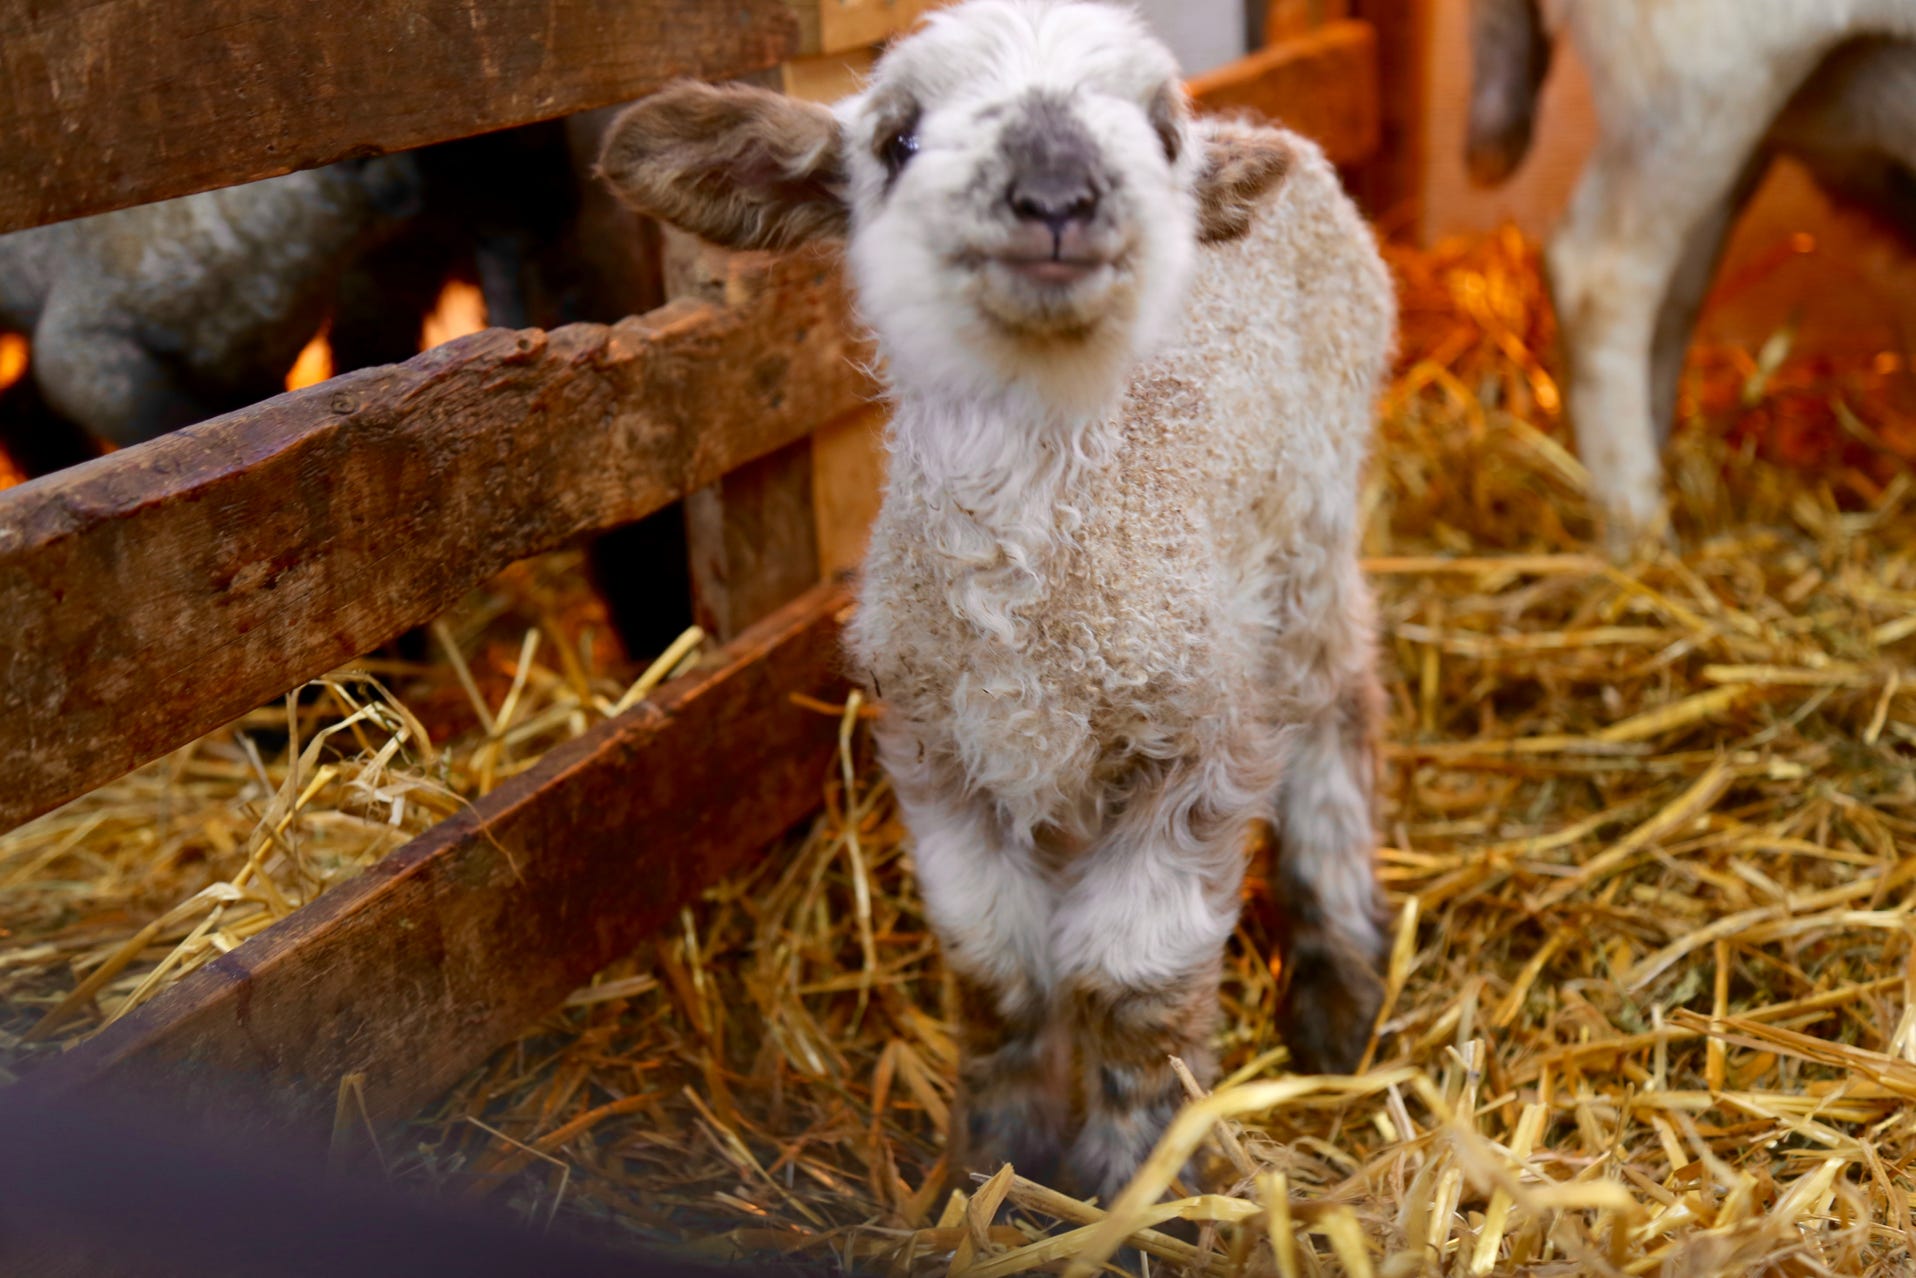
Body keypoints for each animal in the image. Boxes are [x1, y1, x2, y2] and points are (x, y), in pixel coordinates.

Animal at [600, 0, 1395, 1197]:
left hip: (1307, 535)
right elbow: (998, 971)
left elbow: (1133, 986)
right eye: (897, 139)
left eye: (1159, 133)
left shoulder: (1190, 740)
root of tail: (1269, 124)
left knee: (1334, 717)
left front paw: (1136, 1189)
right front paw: (993, 1166)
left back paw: (1340, 989)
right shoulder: (943, 750)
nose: (1058, 194)